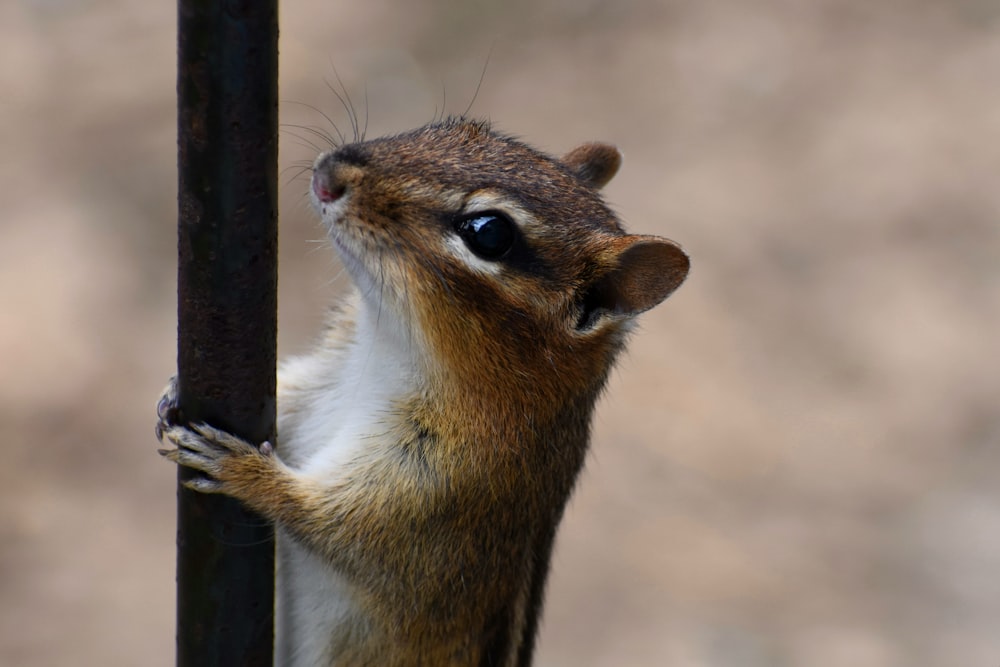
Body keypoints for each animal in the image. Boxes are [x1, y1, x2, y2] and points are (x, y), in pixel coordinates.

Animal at [158, 117, 688, 664]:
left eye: (490, 233)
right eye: (457, 126)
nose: (329, 173)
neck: (384, 351)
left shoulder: (437, 496)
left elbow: (332, 524)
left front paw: (243, 470)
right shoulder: (323, 374)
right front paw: (173, 393)